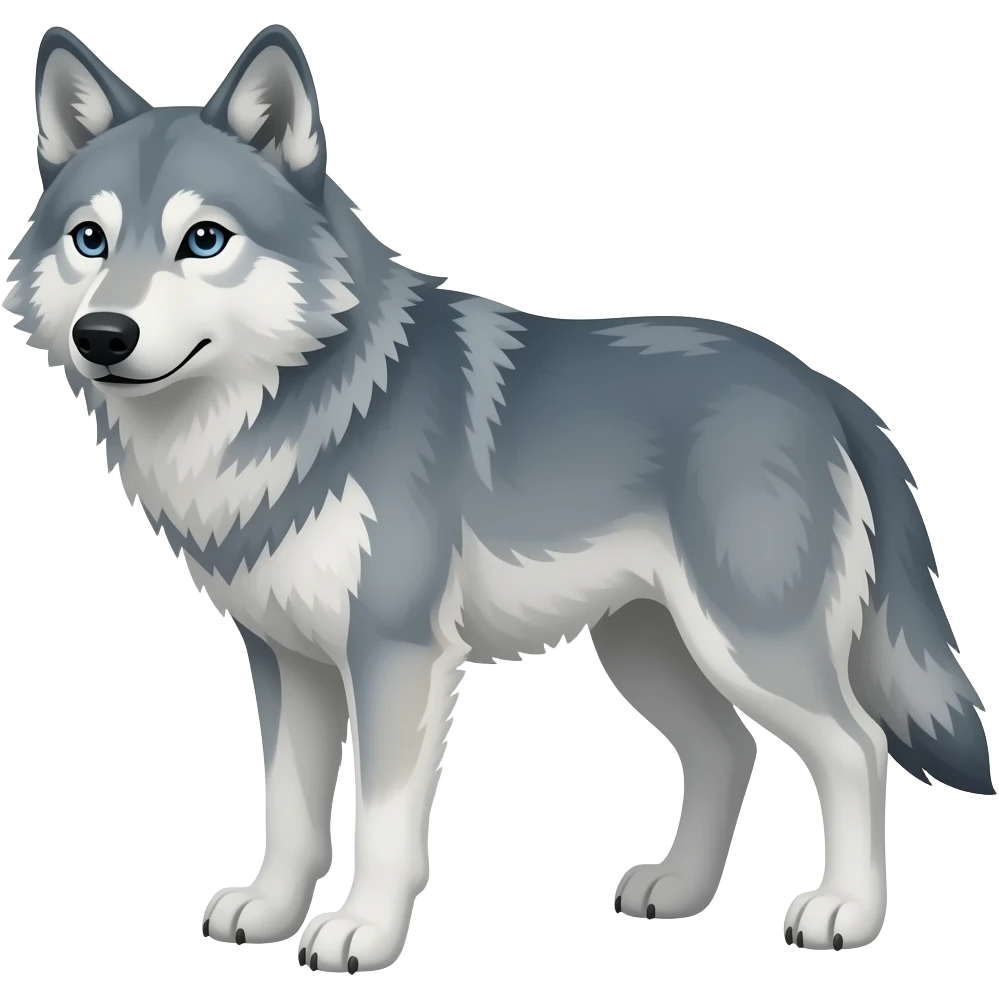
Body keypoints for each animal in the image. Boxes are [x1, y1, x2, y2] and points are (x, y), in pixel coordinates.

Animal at [6, 22, 994, 972]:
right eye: (89, 239)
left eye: (203, 240)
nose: (103, 335)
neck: (288, 411)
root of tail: (824, 387)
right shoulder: (288, 661)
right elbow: (288, 809)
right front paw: (272, 911)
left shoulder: (397, 655)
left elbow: (381, 821)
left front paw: (362, 931)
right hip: (648, 649)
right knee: (729, 747)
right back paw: (678, 890)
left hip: (748, 644)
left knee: (856, 747)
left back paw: (846, 913)